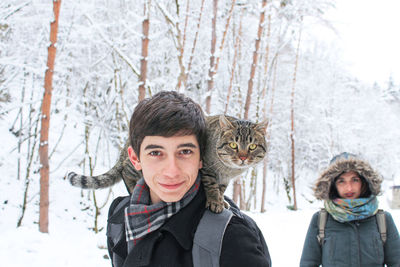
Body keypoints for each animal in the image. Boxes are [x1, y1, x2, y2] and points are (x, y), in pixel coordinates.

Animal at [68, 115, 268, 214]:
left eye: (252, 146)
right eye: (234, 145)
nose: (243, 157)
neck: (228, 170)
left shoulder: (225, 179)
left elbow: (221, 189)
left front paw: (221, 200)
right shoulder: (207, 169)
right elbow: (212, 187)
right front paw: (215, 201)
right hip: (134, 165)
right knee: (126, 169)